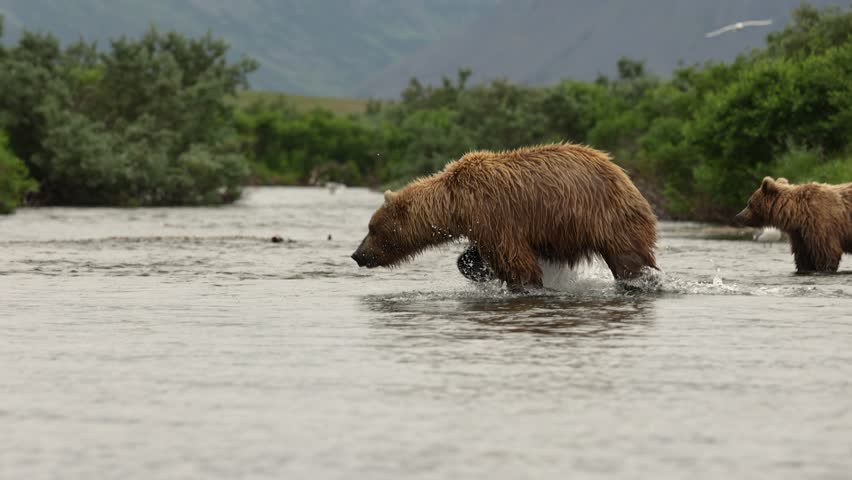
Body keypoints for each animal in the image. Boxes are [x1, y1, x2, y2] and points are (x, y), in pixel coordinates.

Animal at [351, 143, 659, 290]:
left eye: (372, 228)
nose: (357, 254)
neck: (456, 204)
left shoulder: (493, 212)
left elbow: (514, 259)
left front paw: (522, 283)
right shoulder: (481, 224)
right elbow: (479, 253)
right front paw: (477, 269)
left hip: (609, 218)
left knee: (629, 259)